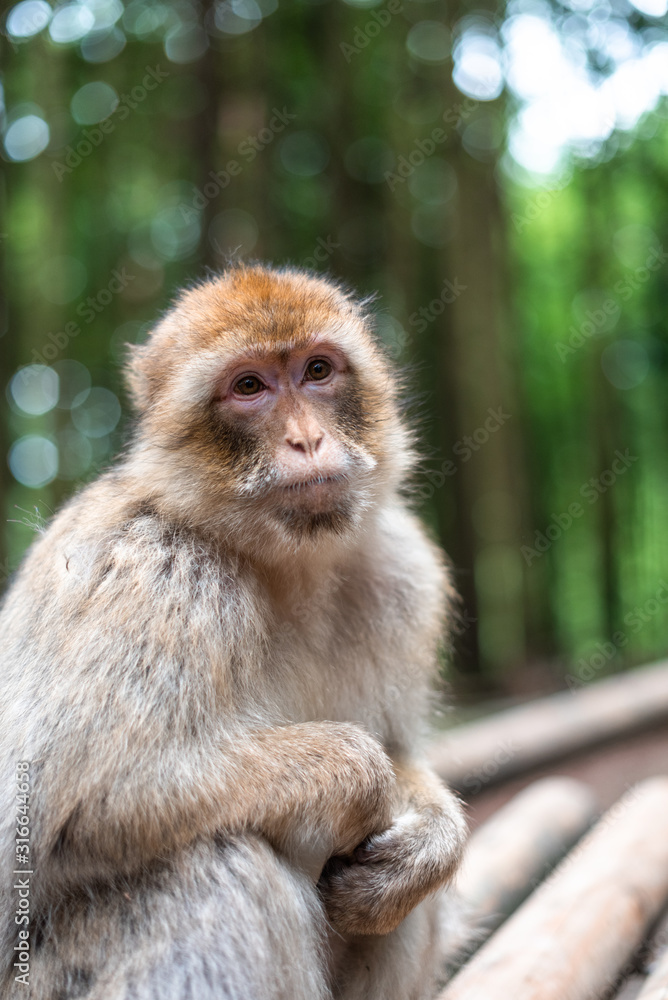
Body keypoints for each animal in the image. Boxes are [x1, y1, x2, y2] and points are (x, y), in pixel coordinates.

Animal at [0, 264, 464, 1000]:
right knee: (216, 861)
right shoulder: (159, 574)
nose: (307, 441)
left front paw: (431, 843)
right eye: (249, 387)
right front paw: (358, 772)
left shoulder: (404, 575)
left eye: (317, 370)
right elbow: (72, 802)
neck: (287, 568)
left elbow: (403, 757)